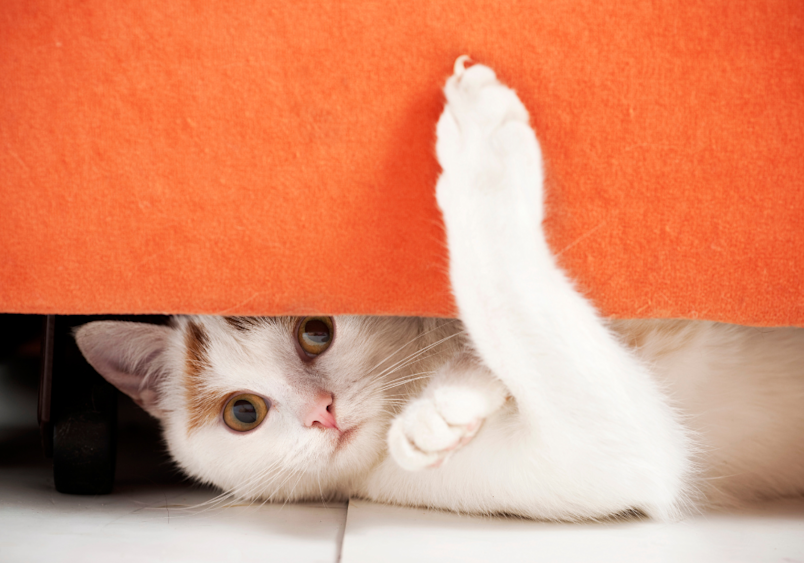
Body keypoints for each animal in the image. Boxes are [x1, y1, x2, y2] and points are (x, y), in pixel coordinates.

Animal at [74, 59, 804, 524]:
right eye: (244, 413)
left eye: (316, 330)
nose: (322, 413)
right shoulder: (599, 460)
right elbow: (515, 311)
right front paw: (448, 404)